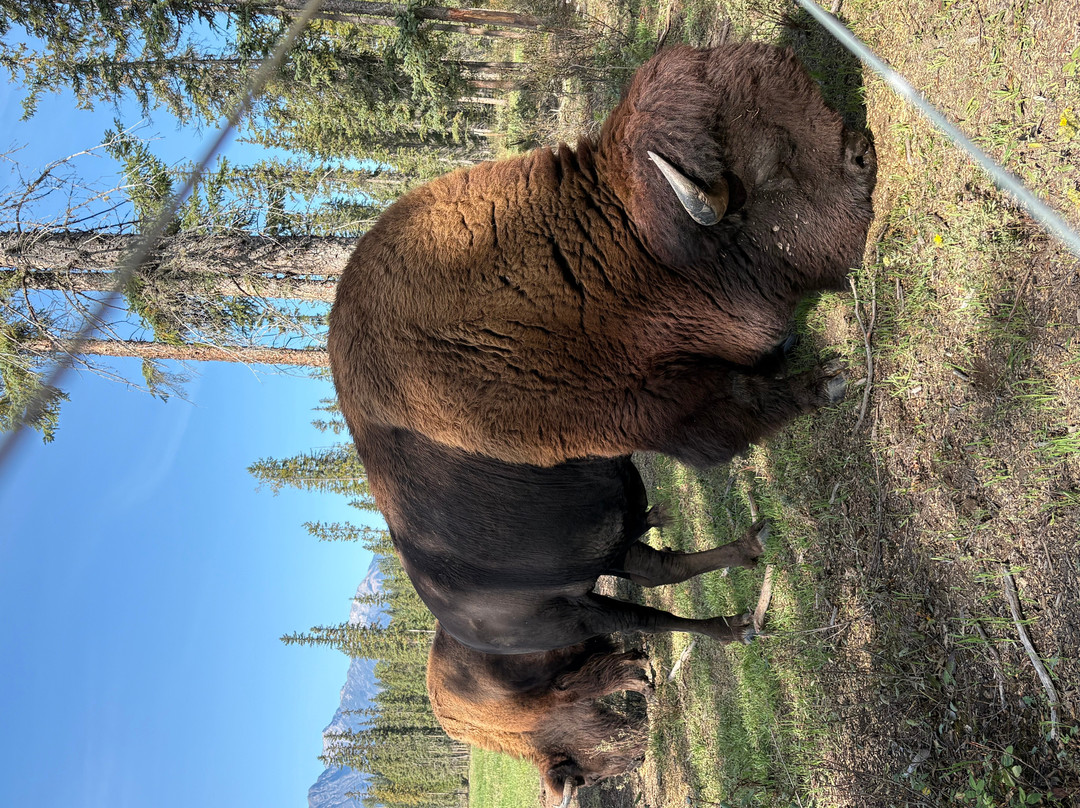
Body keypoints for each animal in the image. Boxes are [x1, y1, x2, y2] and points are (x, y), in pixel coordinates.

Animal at [427, 623, 653, 808]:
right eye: (594, 777)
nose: (638, 758)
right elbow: (613, 672)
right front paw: (644, 672)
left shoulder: (566, 686)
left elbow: (609, 678)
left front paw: (646, 684)